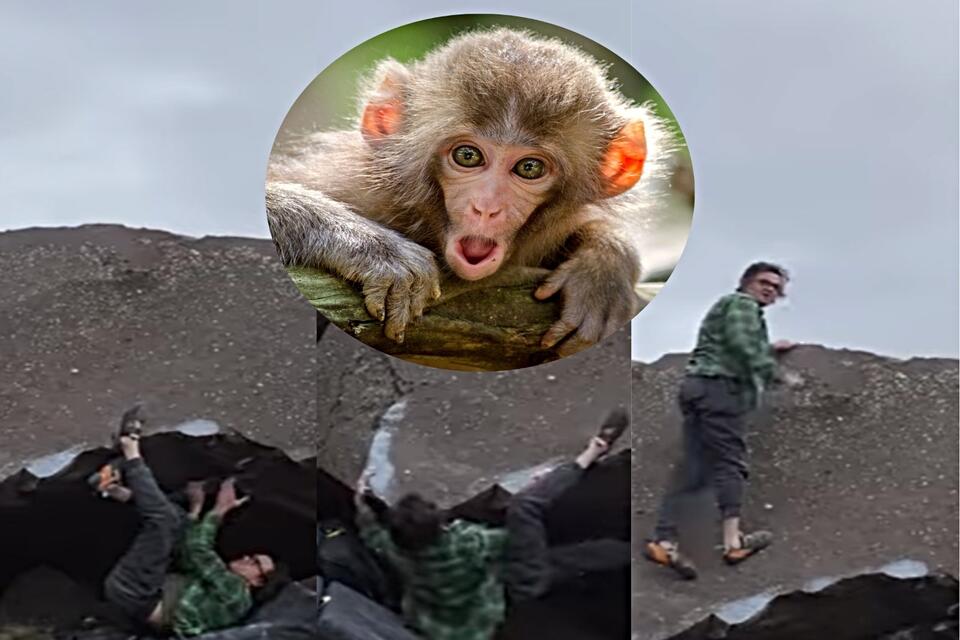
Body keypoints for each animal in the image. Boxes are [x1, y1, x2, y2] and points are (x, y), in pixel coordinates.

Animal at [267, 28, 674, 356]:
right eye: (468, 156)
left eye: (529, 168)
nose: (487, 207)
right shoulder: (349, 183)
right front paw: (370, 246)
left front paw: (603, 266)